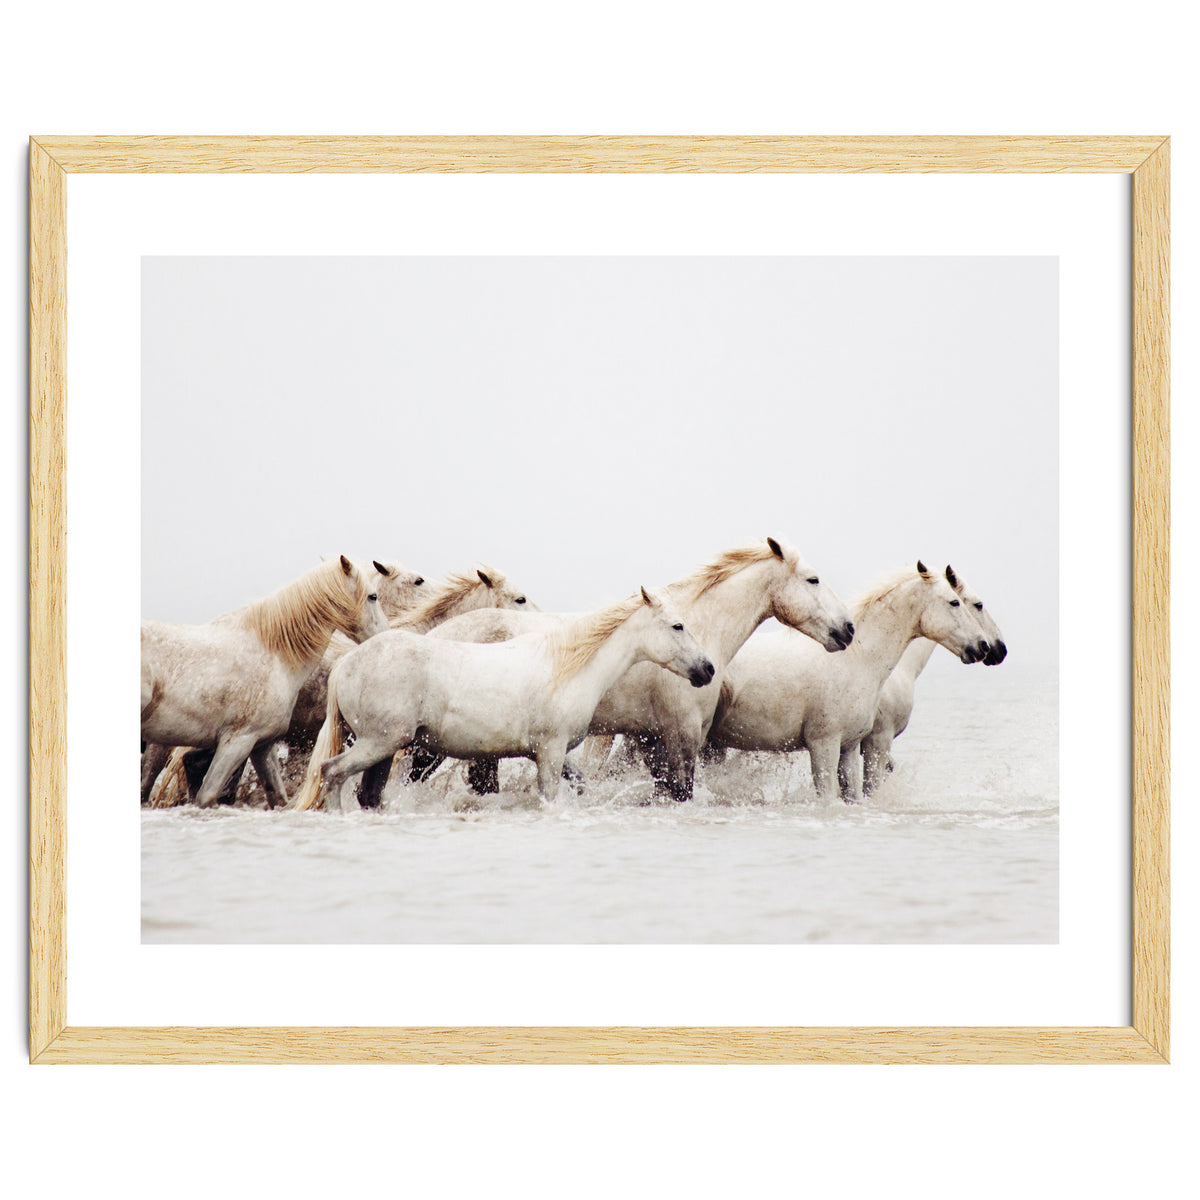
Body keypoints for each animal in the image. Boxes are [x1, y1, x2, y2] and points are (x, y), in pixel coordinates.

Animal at [142, 558, 423, 807]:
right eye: (372, 597)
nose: (386, 635)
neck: (275, 653)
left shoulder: (261, 744)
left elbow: (277, 797)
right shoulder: (237, 741)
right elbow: (208, 796)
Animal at [292, 587, 716, 811]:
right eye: (678, 626)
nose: (707, 670)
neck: (567, 666)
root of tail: (346, 663)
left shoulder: (552, 753)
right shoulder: (550, 751)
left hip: (385, 748)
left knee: (368, 793)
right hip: (379, 743)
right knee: (332, 773)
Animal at [416, 537, 856, 802]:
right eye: (813, 579)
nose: (848, 629)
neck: (697, 627)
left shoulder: (651, 739)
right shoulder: (680, 736)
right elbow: (680, 791)